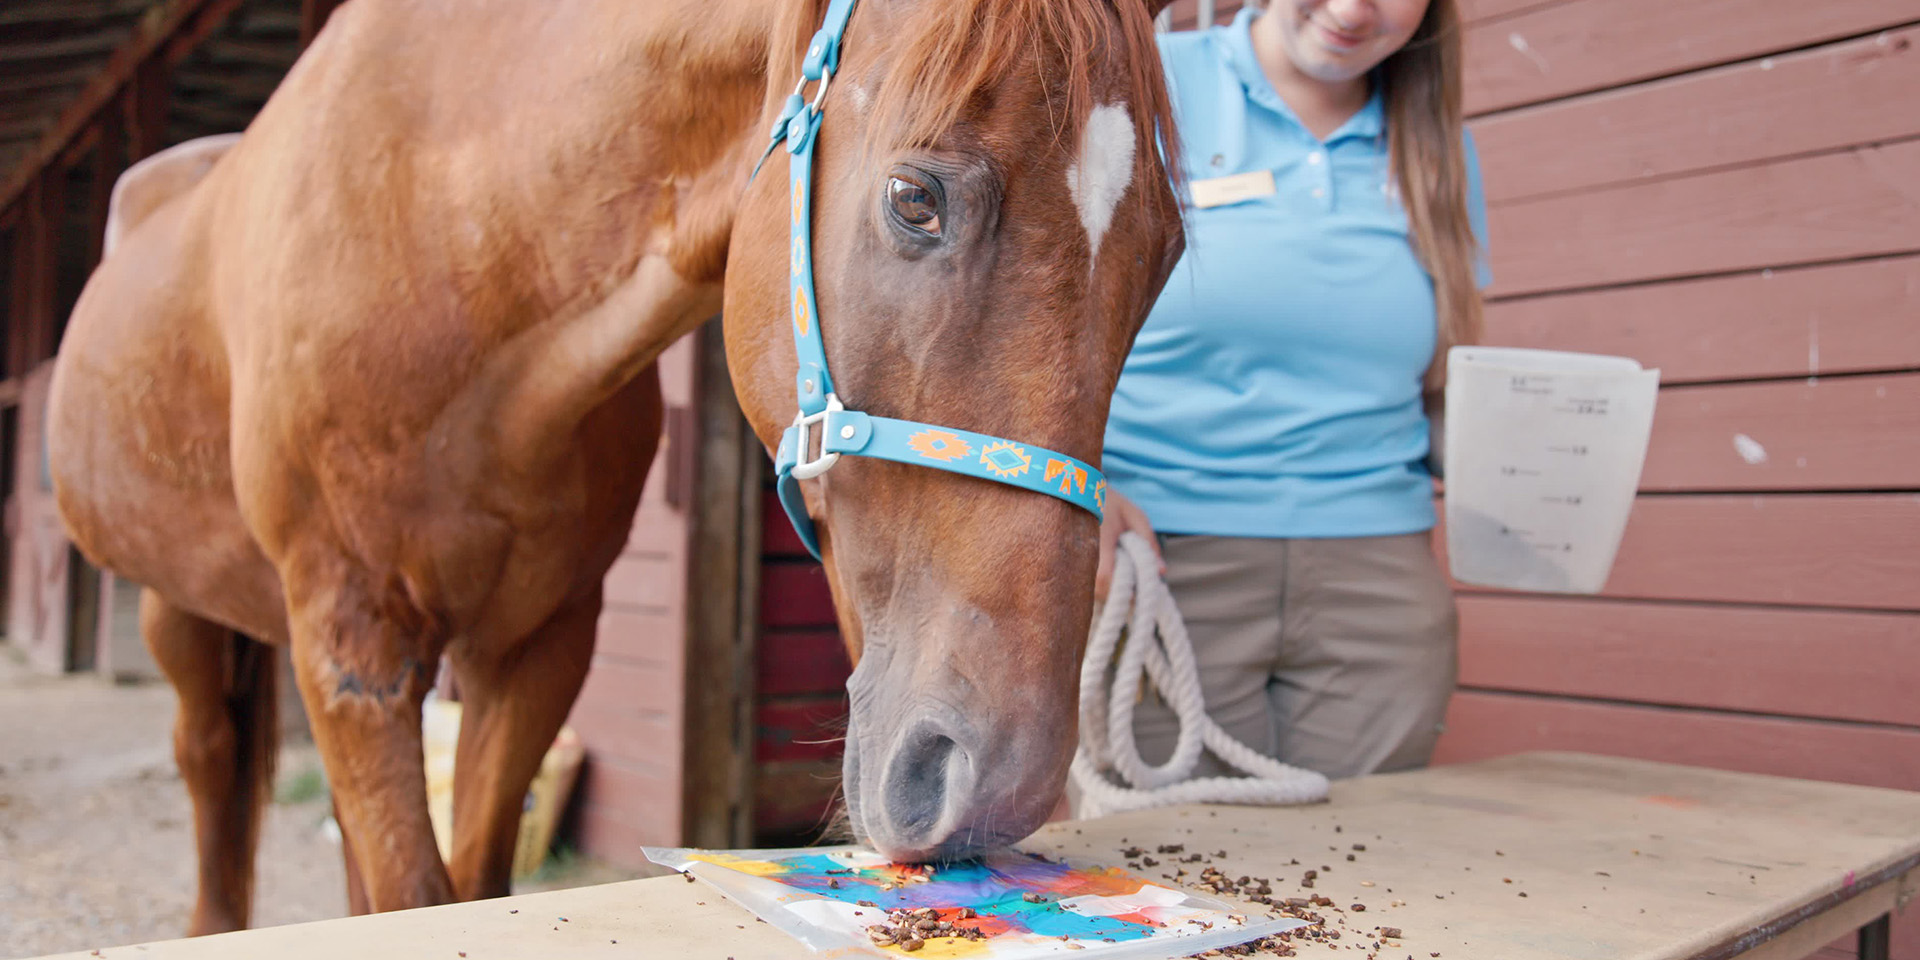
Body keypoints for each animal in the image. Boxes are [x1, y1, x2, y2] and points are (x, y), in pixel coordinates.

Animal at [45, 0, 1182, 933]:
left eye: (1165, 257)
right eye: (915, 198)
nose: (999, 789)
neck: (456, 240)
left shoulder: (539, 644)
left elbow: (466, 882)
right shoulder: (351, 644)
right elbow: (417, 891)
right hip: (177, 609)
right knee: (209, 763)